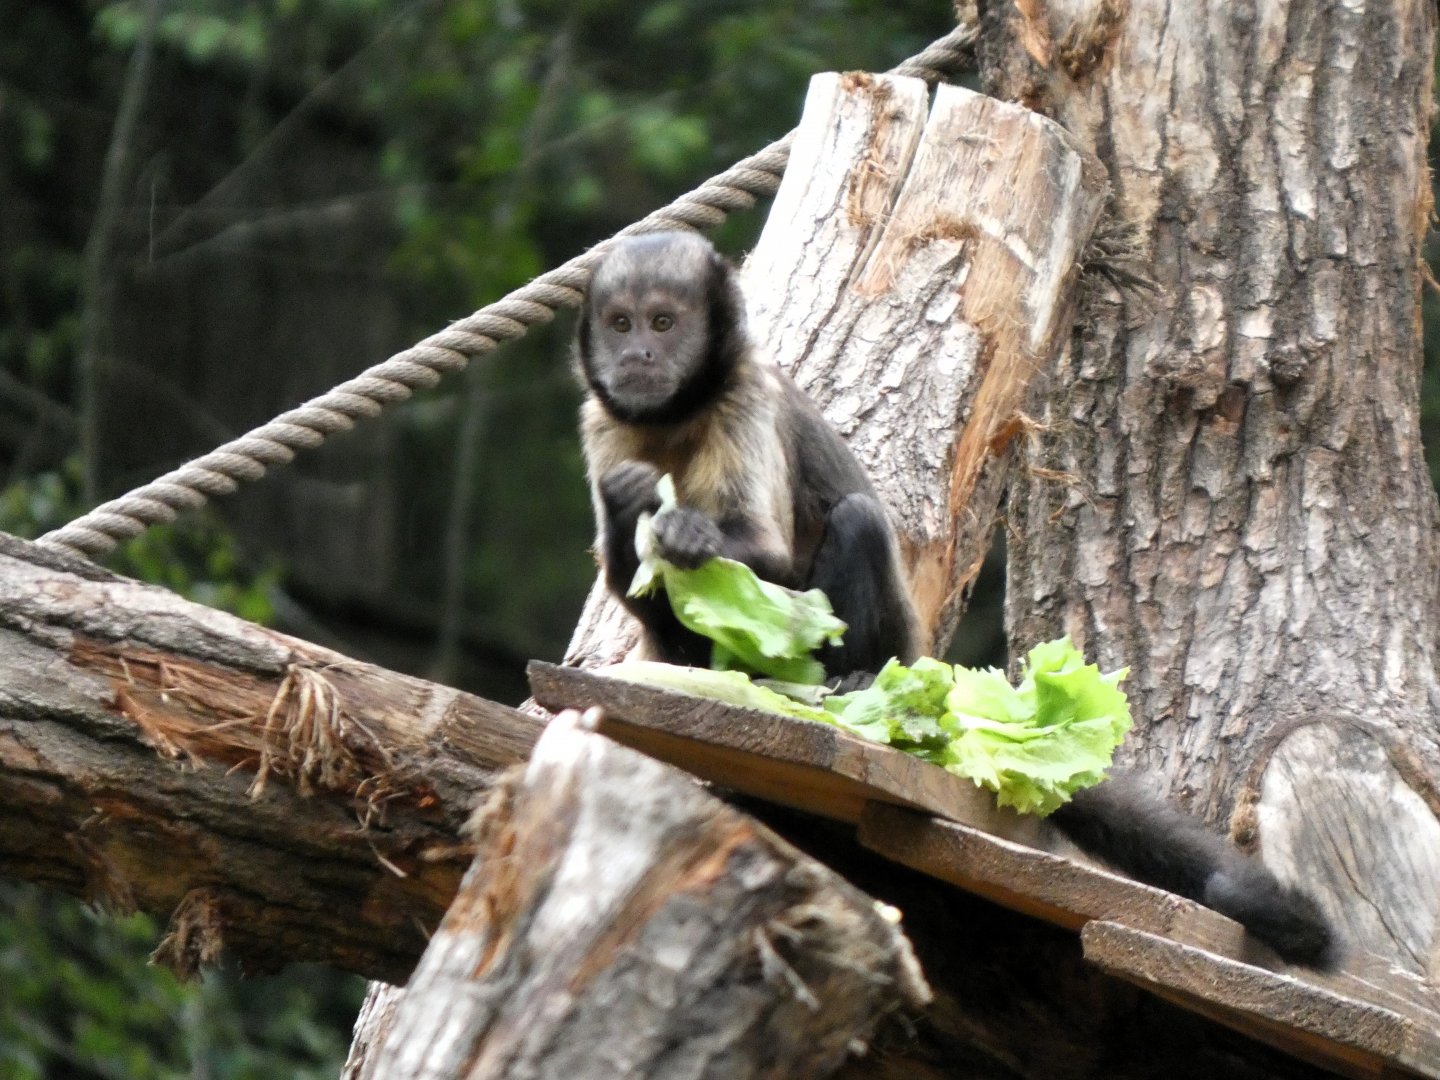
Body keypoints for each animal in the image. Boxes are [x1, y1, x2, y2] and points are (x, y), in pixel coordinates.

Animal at [574, 231, 1338, 969]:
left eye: (664, 322)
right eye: (620, 324)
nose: (638, 353)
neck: (677, 414)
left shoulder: (745, 396)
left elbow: (762, 550)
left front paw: (685, 534)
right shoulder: (602, 423)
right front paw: (631, 511)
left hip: (895, 643)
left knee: (858, 521)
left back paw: (850, 679)